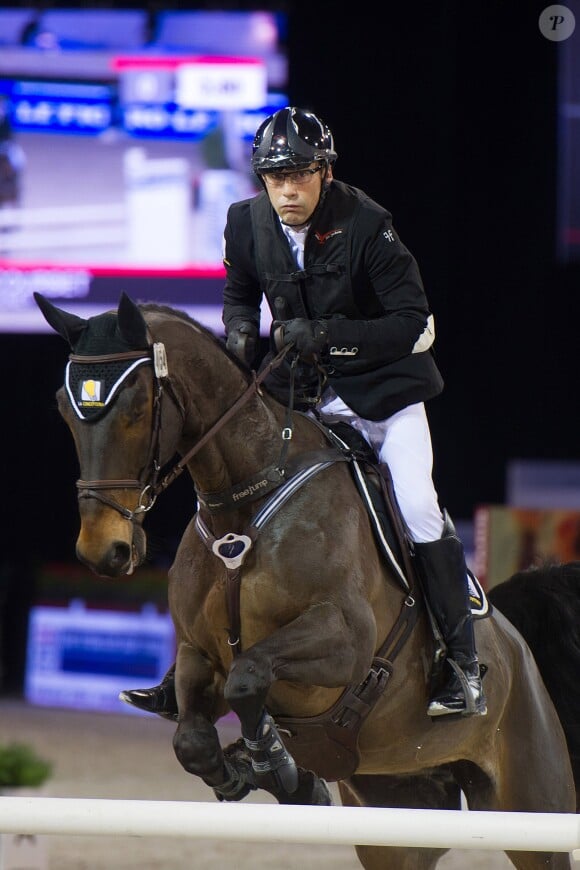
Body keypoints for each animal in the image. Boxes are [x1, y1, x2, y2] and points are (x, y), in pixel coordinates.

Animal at [35, 294, 576, 870]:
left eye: (136, 409)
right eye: (65, 410)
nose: (104, 551)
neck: (245, 502)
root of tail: (521, 652)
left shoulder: (346, 643)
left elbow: (249, 676)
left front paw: (283, 771)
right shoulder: (198, 653)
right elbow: (195, 740)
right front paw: (255, 772)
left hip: (530, 809)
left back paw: (461, 686)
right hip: (399, 811)